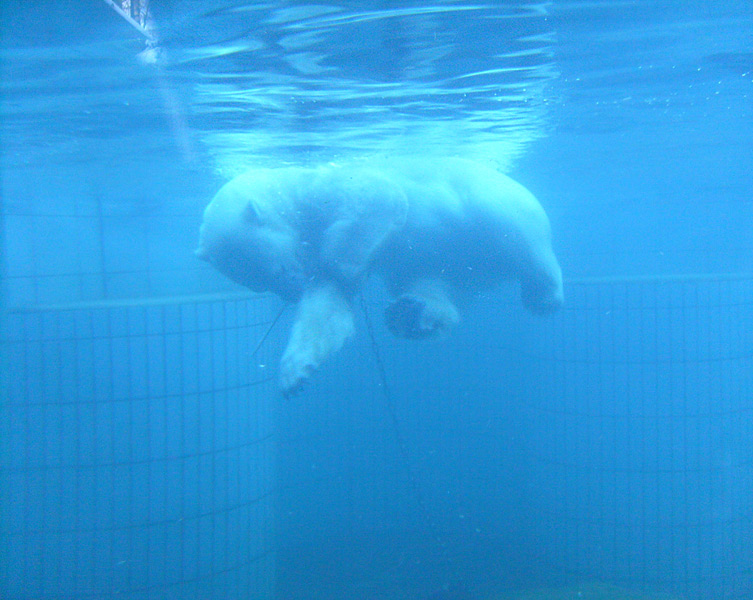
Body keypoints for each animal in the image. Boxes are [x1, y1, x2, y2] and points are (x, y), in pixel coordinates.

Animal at [197, 158, 560, 394]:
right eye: (256, 283)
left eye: (275, 271)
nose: (291, 293)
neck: (298, 189)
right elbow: (328, 307)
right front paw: (295, 372)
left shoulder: (334, 190)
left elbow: (381, 197)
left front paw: (340, 262)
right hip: (444, 264)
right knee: (433, 286)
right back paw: (411, 313)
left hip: (490, 206)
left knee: (519, 238)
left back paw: (542, 295)